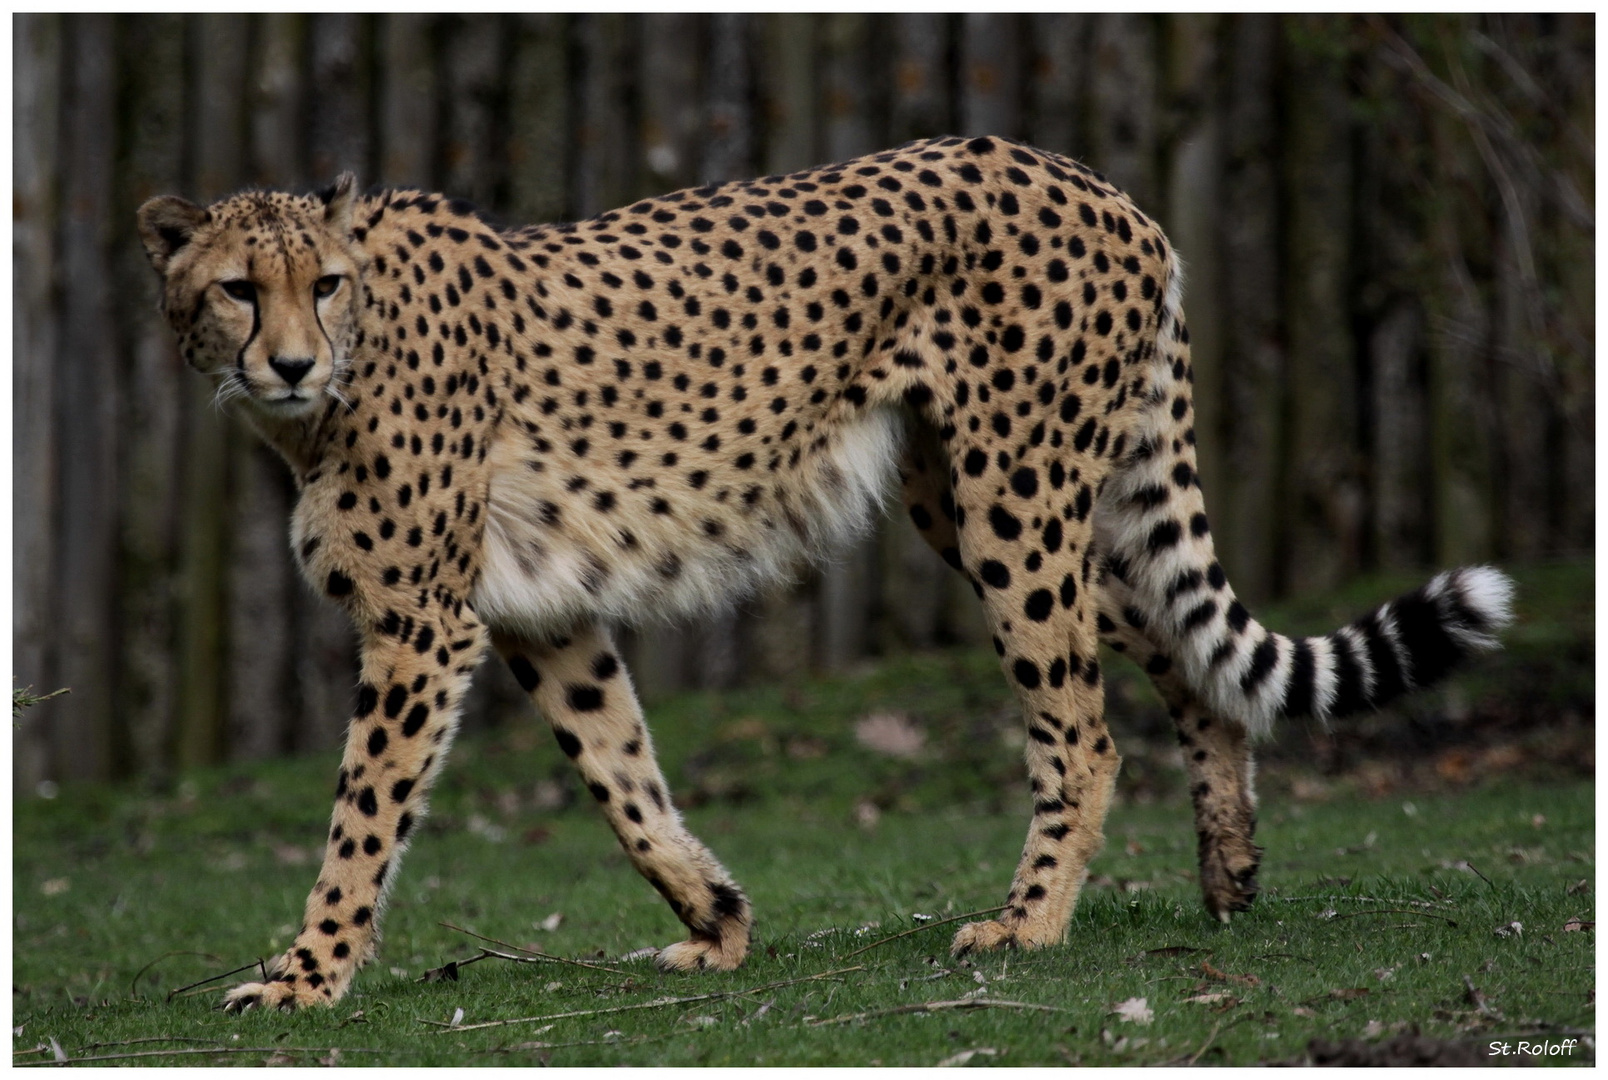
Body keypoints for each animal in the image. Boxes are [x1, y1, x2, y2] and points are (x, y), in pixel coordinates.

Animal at [135, 137, 1505, 1015]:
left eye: (323, 285)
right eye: (238, 289)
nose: (292, 363)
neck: (327, 393)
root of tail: (1096, 183)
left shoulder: (424, 623)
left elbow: (364, 814)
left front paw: (305, 975)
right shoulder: (541, 611)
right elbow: (620, 775)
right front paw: (718, 923)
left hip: (1013, 500)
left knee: (1080, 725)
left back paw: (1031, 922)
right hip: (968, 502)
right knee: (1176, 647)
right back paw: (1228, 871)